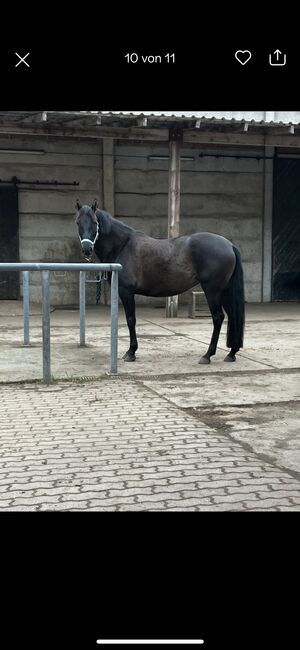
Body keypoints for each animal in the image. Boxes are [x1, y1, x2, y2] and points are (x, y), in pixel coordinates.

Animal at [74, 200, 244, 362]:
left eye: (95, 222)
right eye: (77, 222)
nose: (87, 249)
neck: (123, 245)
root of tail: (229, 245)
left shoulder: (126, 292)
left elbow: (131, 320)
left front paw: (131, 352)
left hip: (213, 291)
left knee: (218, 318)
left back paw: (207, 355)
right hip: (224, 291)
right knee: (232, 316)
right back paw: (231, 353)